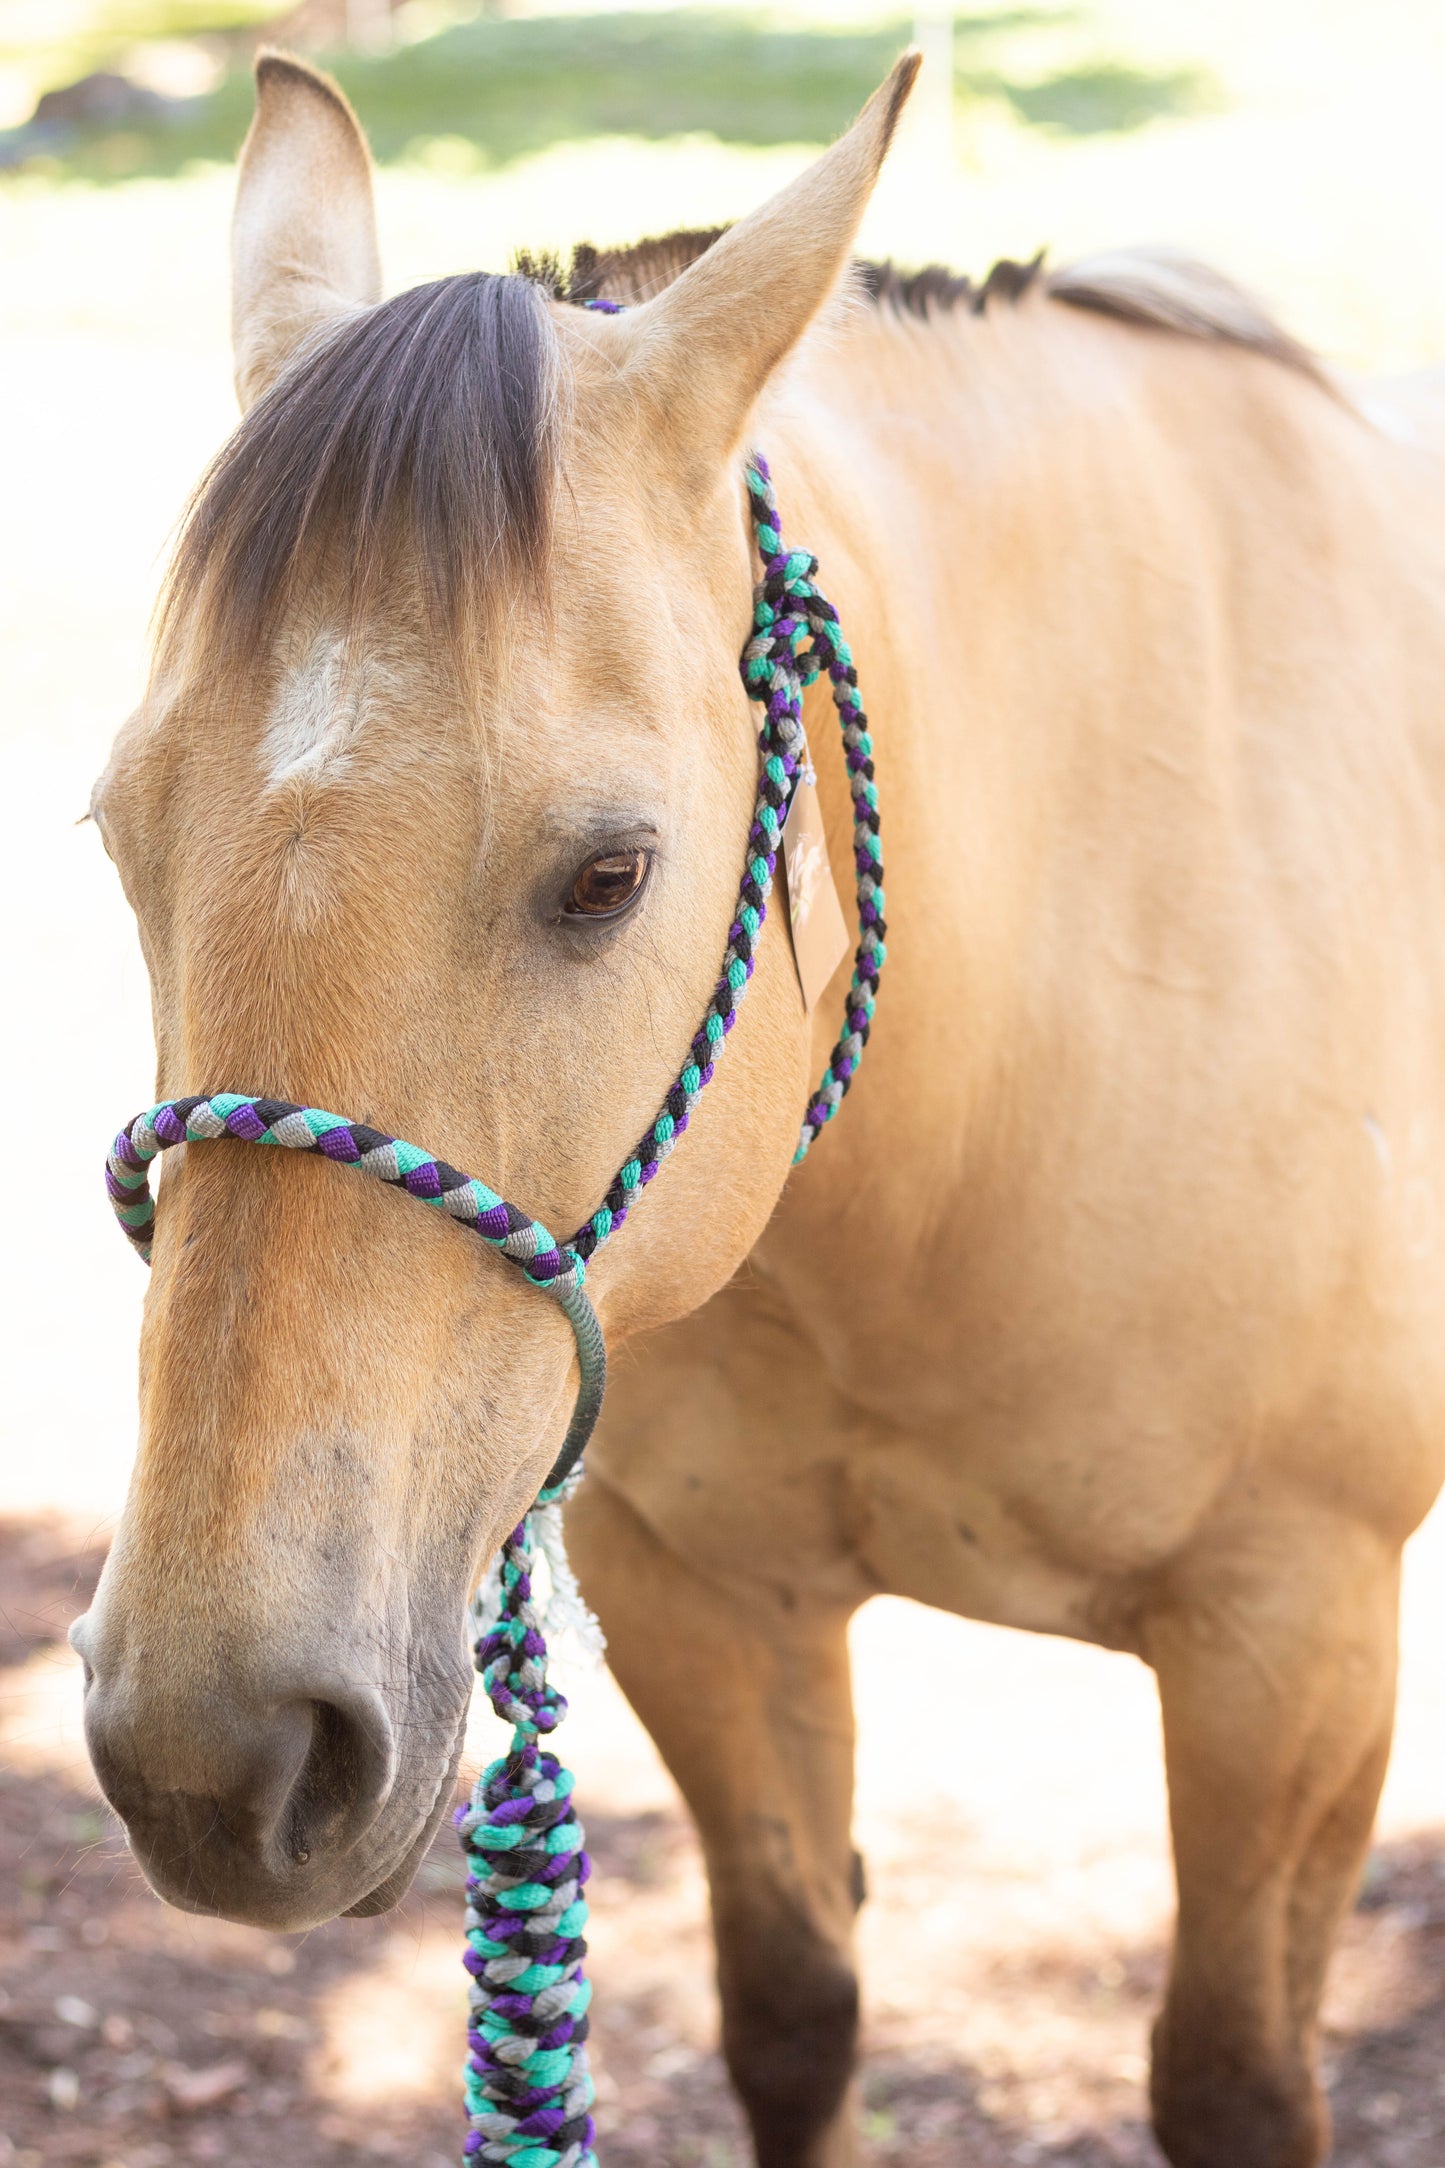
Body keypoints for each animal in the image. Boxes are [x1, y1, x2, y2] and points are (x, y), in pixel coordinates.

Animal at [73, 38, 1445, 2168]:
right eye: (121, 833)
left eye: (611, 872)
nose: (219, 1750)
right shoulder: (707, 1599)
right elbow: (793, 2007)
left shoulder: (1289, 1645)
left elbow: (1233, 2073)